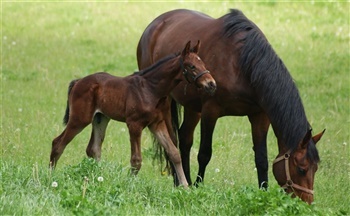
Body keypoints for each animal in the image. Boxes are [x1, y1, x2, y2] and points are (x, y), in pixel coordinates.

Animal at [47, 41, 215, 187]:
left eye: (204, 64)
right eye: (192, 66)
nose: (211, 84)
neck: (151, 88)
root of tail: (78, 82)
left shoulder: (156, 124)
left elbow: (174, 153)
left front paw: (185, 186)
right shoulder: (134, 124)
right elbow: (136, 159)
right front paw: (130, 185)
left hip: (101, 118)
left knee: (93, 149)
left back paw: (99, 176)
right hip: (80, 119)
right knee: (58, 143)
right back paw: (51, 177)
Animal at [137, 8, 326, 204]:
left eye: (316, 168)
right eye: (302, 169)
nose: (307, 202)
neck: (242, 63)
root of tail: (155, 25)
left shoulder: (260, 116)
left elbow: (261, 159)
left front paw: (263, 192)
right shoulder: (210, 112)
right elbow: (204, 153)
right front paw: (198, 187)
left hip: (192, 107)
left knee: (185, 138)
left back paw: (185, 180)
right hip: (165, 102)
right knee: (172, 140)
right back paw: (179, 182)